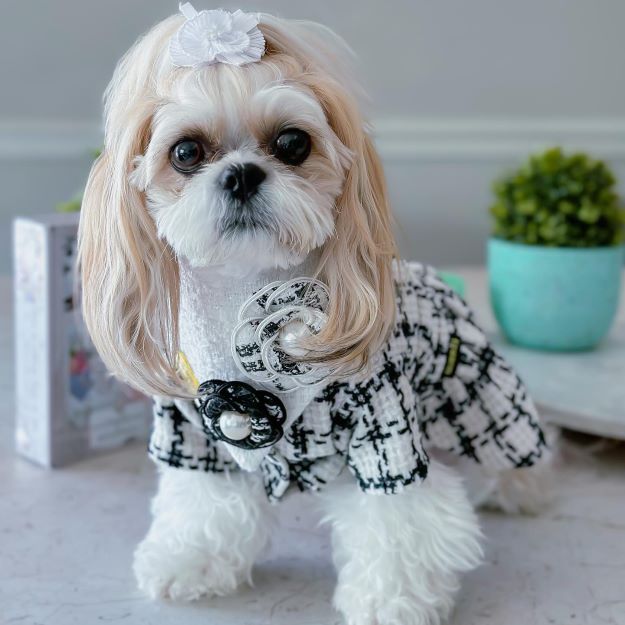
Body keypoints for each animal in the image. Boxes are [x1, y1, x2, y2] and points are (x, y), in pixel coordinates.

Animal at [79, 4, 552, 624]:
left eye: (292, 142)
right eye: (185, 152)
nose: (241, 174)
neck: (249, 291)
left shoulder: (384, 423)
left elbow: (397, 522)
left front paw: (391, 600)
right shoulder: (195, 428)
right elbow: (203, 503)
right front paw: (190, 563)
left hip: (484, 394)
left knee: (516, 451)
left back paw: (523, 489)